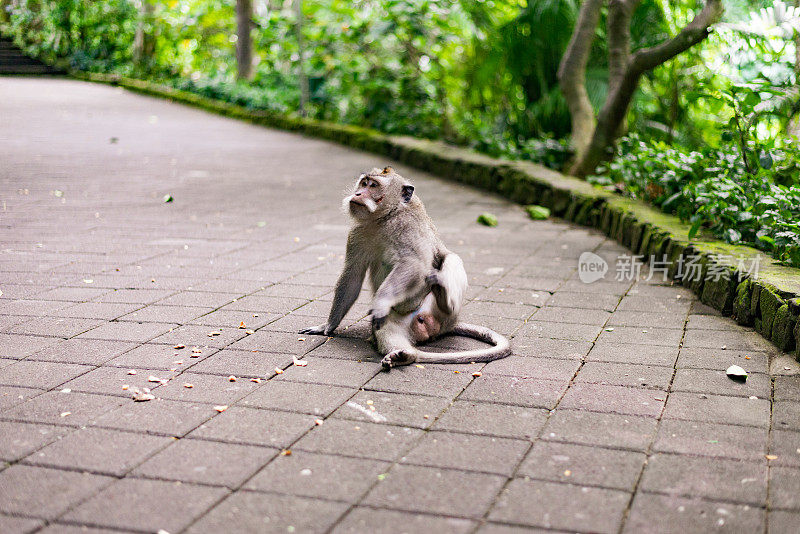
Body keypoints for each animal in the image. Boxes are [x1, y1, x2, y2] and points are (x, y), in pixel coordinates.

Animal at [300, 165, 512, 370]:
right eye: (363, 183)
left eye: (373, 186)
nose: (358, 194)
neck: (384, 218)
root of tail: (444, 326)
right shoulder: (357, 233)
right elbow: (352, 275)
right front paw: (328, 326)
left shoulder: (408, 227)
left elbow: (414, 264)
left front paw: (381, 302)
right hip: (400, 320)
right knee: (386, 328)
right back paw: (405, 355)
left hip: (435, 308)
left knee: (452, 259)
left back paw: (444, 299)